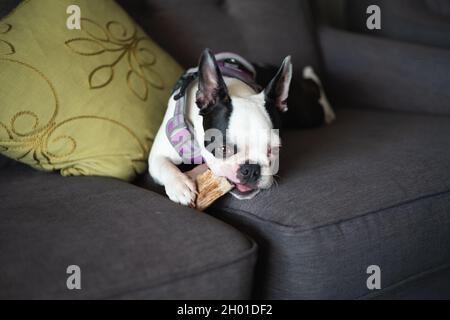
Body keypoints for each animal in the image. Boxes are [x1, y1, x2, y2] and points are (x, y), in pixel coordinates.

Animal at [148, 48, 334, 206]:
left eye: (274, 149)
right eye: (223, 149)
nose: (251, 169)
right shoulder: (158, 154)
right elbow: (162, 164)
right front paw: (180, 185)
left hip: (305, 114)